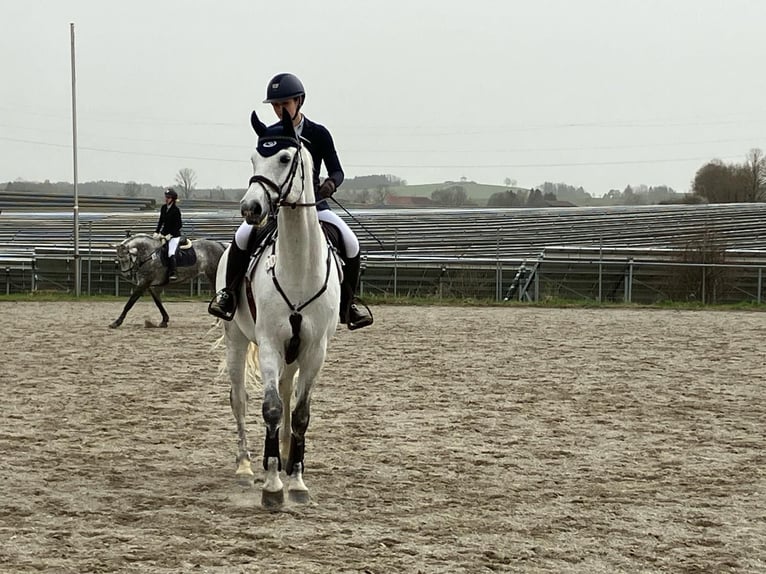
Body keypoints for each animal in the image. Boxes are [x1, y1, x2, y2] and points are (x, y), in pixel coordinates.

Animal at [220, 109, 344, 508]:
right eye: (254, 159)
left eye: (286, 158)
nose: (251, 209)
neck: (299, 266)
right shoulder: (270, 344)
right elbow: (271, 408)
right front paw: (274, 487)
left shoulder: (315, 349)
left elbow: (300, 413)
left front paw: (298, 482)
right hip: (236, 339)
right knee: (240, 399)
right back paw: (246, 467)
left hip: (294, 352)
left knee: (288, 393)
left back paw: (286, 457)